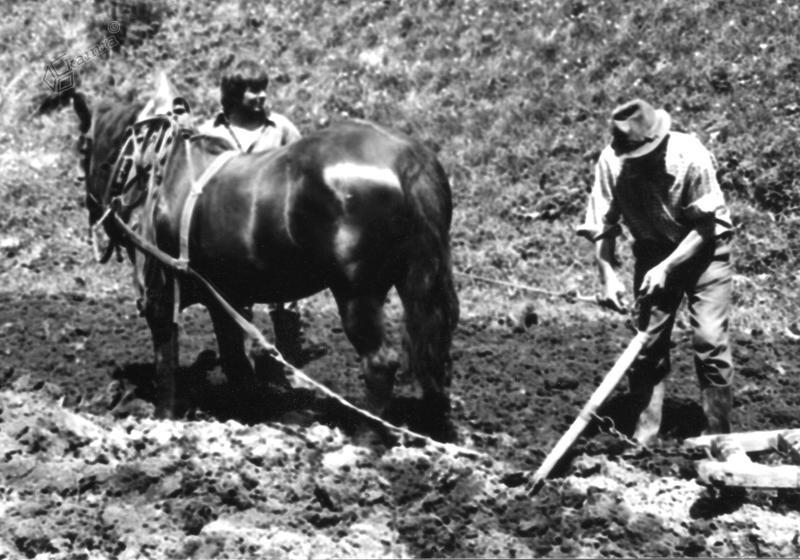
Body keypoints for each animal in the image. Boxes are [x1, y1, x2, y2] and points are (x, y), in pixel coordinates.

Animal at [71, 76, 460, 437]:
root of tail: (406, 155)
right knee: (433, 353)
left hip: (357, 294)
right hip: (417, 282)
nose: (93, 209)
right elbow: (234, 359)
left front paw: (164, 416)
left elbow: (167, 359)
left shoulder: (162, 292)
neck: (163, 171)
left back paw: (368, 435)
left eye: (83, 145)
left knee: (381, 361)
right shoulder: (223, 296)